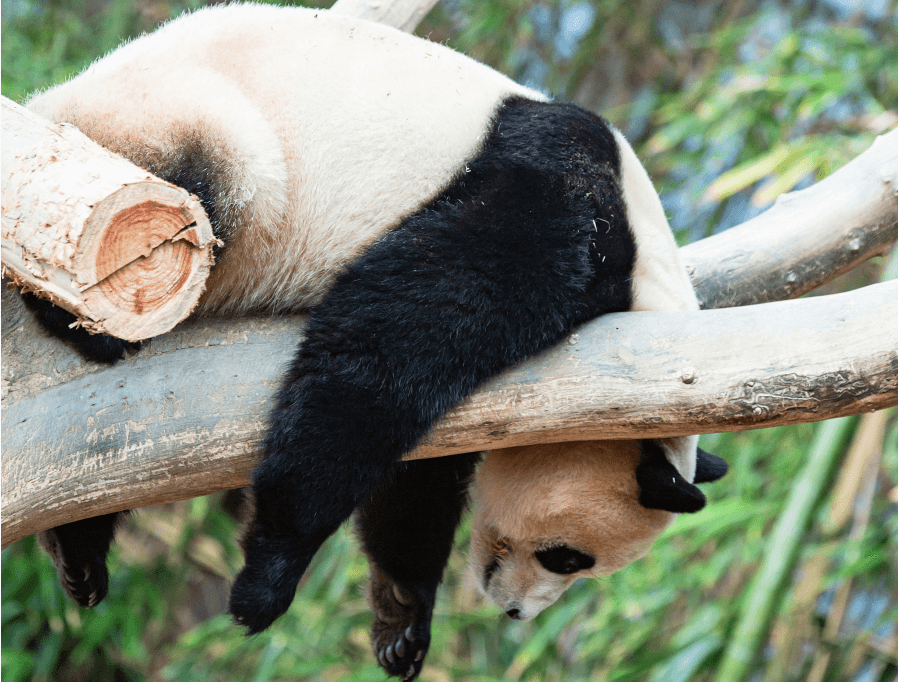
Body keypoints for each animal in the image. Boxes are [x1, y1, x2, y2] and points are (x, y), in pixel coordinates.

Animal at [21, 2, 724, 676]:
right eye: (569, 558)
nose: (516, 612)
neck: (647, 286)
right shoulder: (566, 204)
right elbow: (397, 333)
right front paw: (267, 579)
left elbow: (415, 472)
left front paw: (402, 614)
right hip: (168, 130)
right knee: (197, 188)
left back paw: (79, 552)